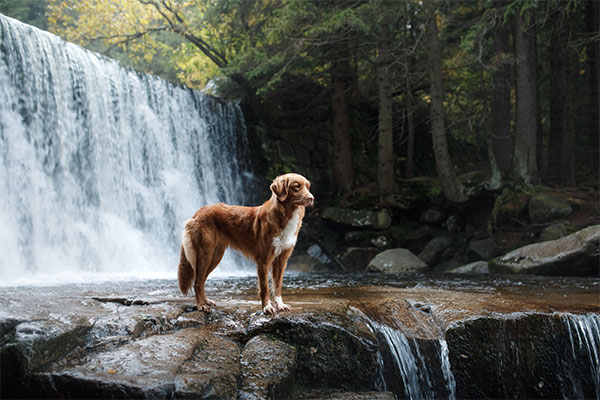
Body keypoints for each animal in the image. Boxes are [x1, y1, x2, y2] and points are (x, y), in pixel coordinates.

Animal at [177, 173, 314, 314]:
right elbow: (265, 286)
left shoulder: (281, 260)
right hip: (205, 254)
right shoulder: (264, 260)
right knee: (197, 282)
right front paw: (267, 307)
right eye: (297, 186)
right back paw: (201, 306)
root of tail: (198, 212)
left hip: (215, 256)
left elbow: (277, 285)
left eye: (308, 187)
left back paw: (206, 301)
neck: (285, 215)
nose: (311, 198)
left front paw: (280, 305)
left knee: (202, 280)